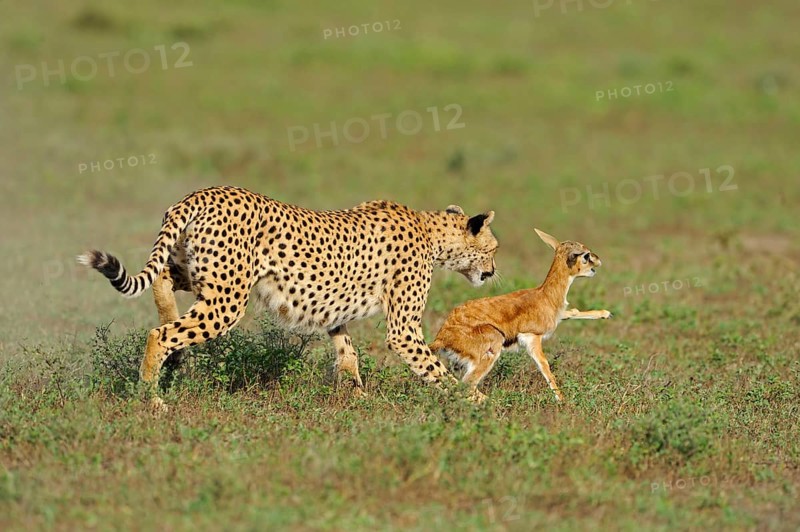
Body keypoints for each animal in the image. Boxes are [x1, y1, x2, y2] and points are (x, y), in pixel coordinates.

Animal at [78, 186, 498, 409]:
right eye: (493, 249)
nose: (493, 272)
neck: (431, 232)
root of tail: (201, 194)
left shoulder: (334, 312)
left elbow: (347, 352)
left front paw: (357, 395)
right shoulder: (403, 329)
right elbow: (432, 365)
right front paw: (476, 402)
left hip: (203, 275)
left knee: (162, 280)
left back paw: (168, 323)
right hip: (227, 297)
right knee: (159, 334)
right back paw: (151, 398)